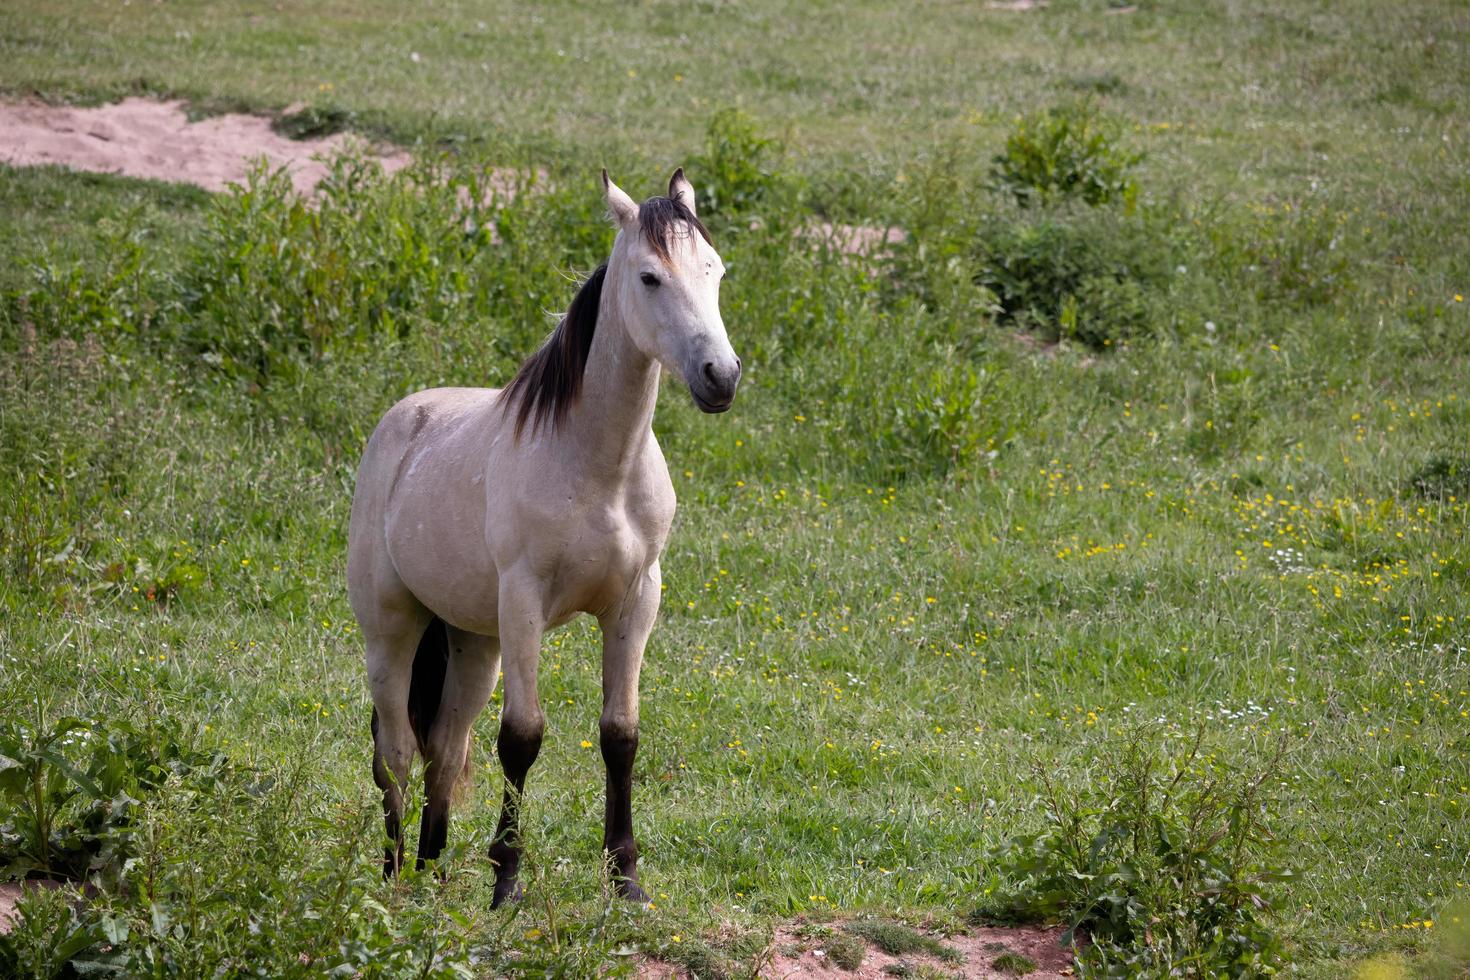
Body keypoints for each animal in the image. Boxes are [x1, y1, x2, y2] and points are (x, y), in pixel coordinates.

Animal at [342, 166, 735, 905]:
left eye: (715, 270)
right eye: (649, 277)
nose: (720, 377)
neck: (598, 468)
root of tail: (400, 424)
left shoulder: (636, 603)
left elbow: (620, 735)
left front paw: (626, 878)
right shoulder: (524, 603)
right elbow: (522, 738)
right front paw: (507, 882)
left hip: (473, 643)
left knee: (446, 749)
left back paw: (431, 871)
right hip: (392, 630)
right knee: (398, 754)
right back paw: (393, 877)